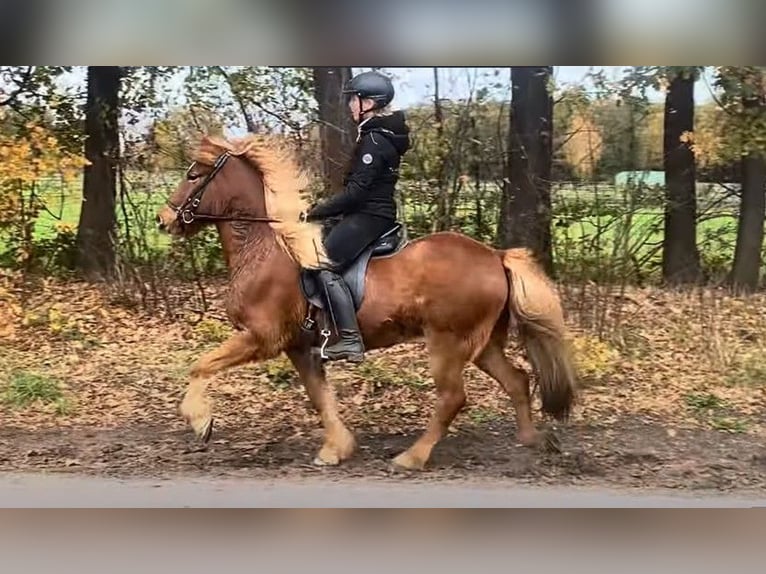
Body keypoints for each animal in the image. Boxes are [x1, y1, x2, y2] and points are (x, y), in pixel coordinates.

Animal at [155, 133, 577, 471]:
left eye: (193, 175)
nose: (163, 219)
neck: (266, 249)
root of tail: (496, 255)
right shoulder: (299, 347)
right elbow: (320, 398)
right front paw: (336, 449)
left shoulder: (262, 337)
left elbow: (201, 366)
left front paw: (201, 423)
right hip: (482, 343)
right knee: (517, 380)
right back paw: (530, 441)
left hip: (448, 341)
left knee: (452, 398)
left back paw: (411, 458)